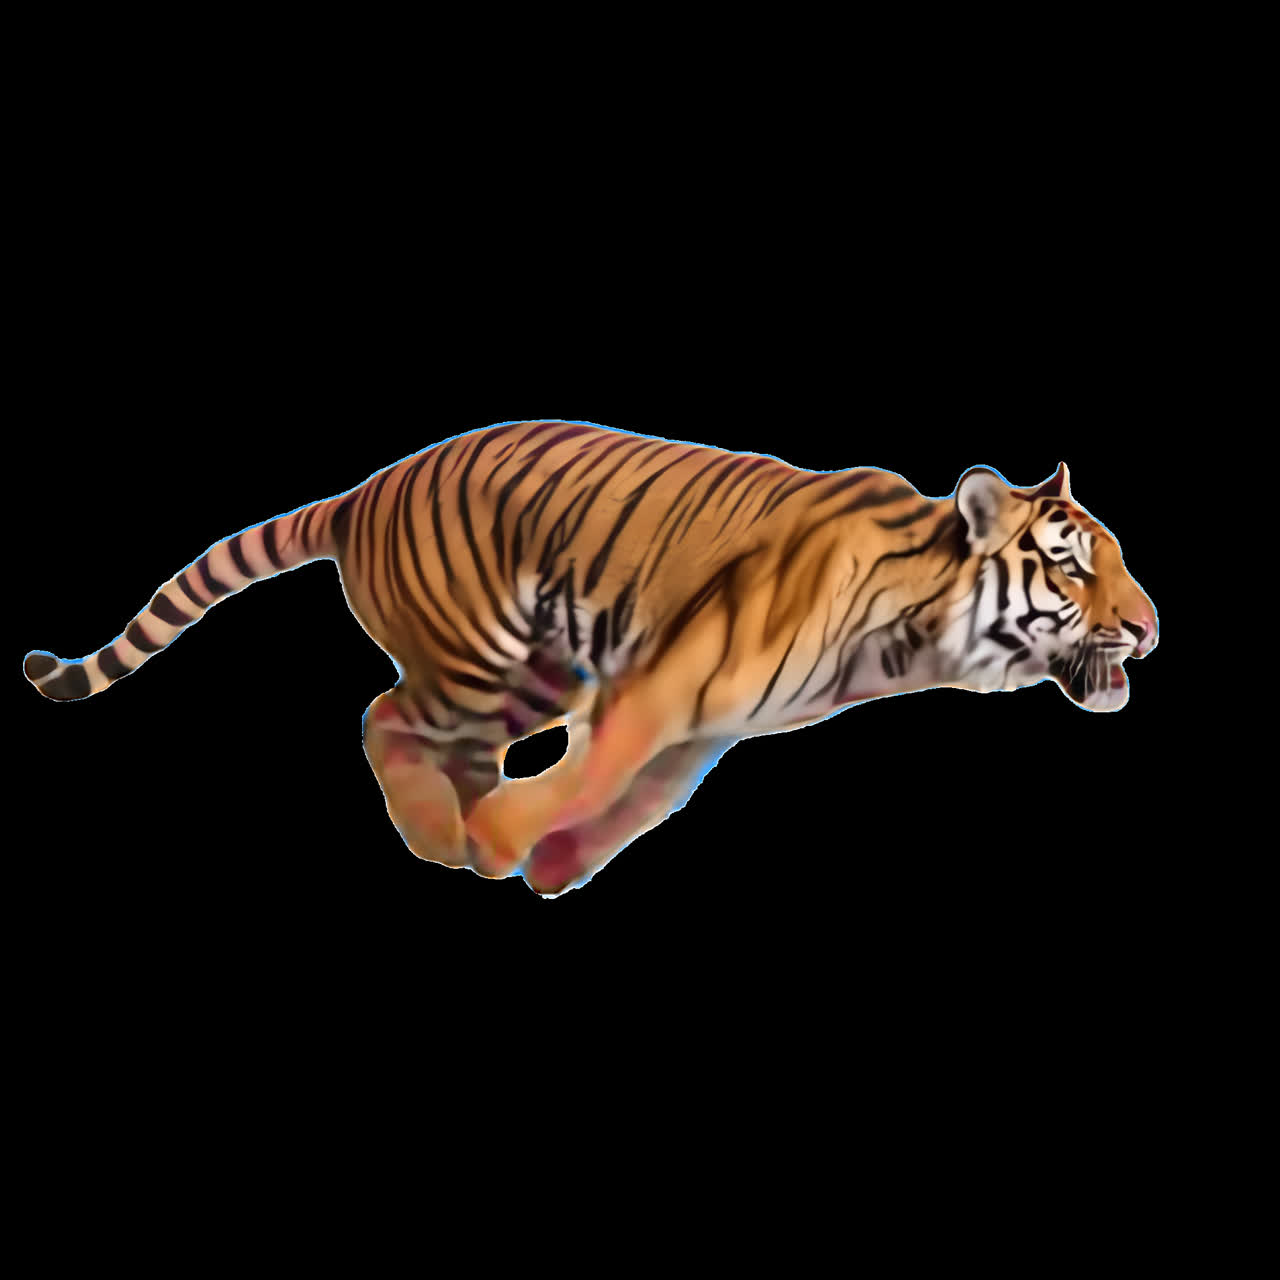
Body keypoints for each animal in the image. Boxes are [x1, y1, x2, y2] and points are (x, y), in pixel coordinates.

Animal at [23, 420, 1158, 896]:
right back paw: (451, 831)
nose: (1150, 627)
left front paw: (552, 862)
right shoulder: (669, 685)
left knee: (418, 730)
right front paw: (509, 840)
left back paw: (455, 829)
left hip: (537, 667)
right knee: (384, 716)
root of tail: (359, 489)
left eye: (1118, 560)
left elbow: (642, 797)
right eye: (1071, 568)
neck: (911, 633)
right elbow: (602, 770)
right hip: (477, 654)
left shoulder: (709, 720)